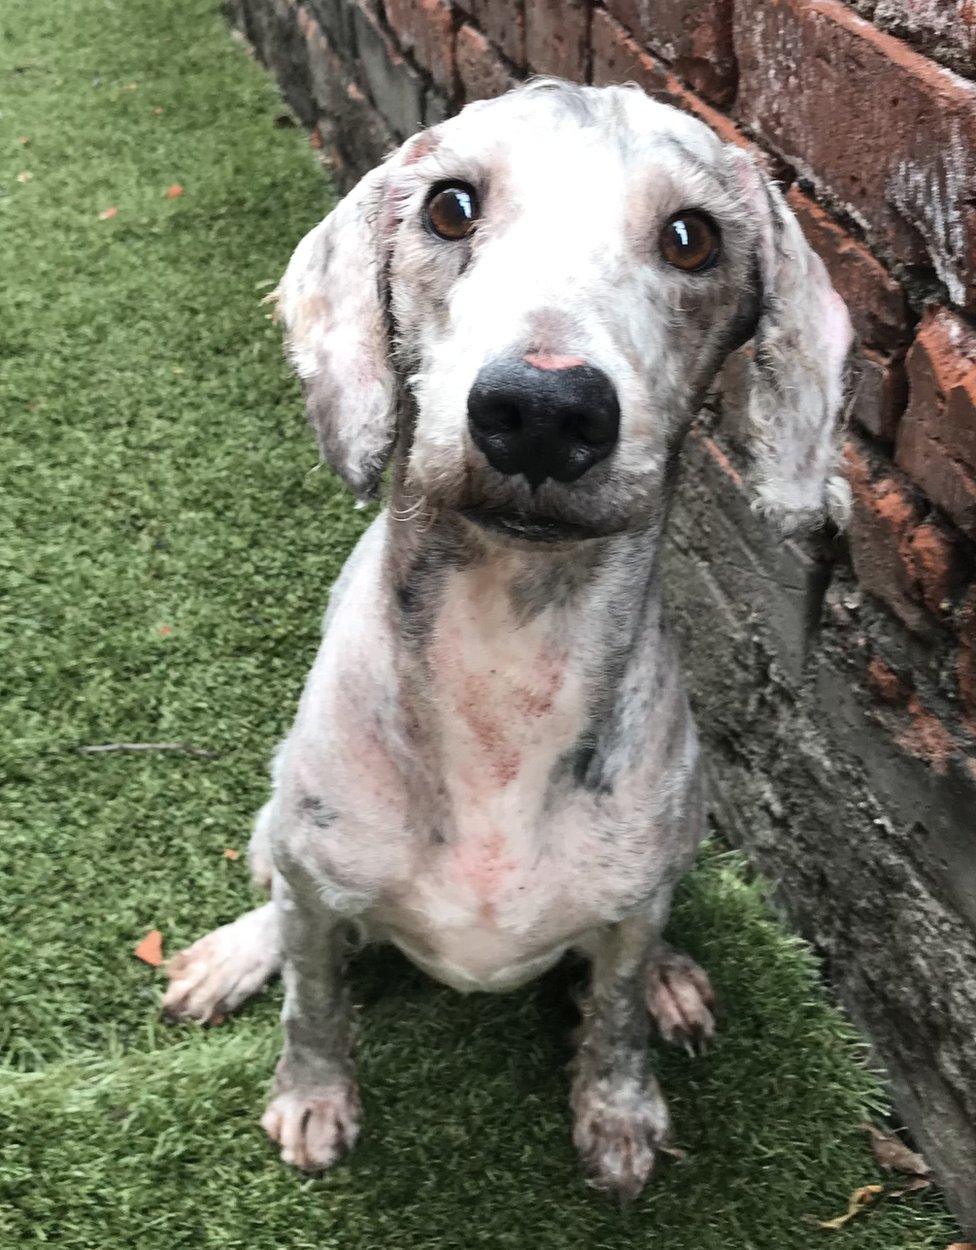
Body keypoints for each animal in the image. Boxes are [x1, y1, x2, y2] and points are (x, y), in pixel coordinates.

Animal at [163, 80, 849, 1200]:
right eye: (450, 207)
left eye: (692, 236)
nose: (541, 409)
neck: (505, 666)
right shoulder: (318, 889)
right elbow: (316, 998)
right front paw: (312, 1093)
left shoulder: (632, 899)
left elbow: (613, 1013)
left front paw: (619, 1106)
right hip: (282, 826)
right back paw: (234, 954)